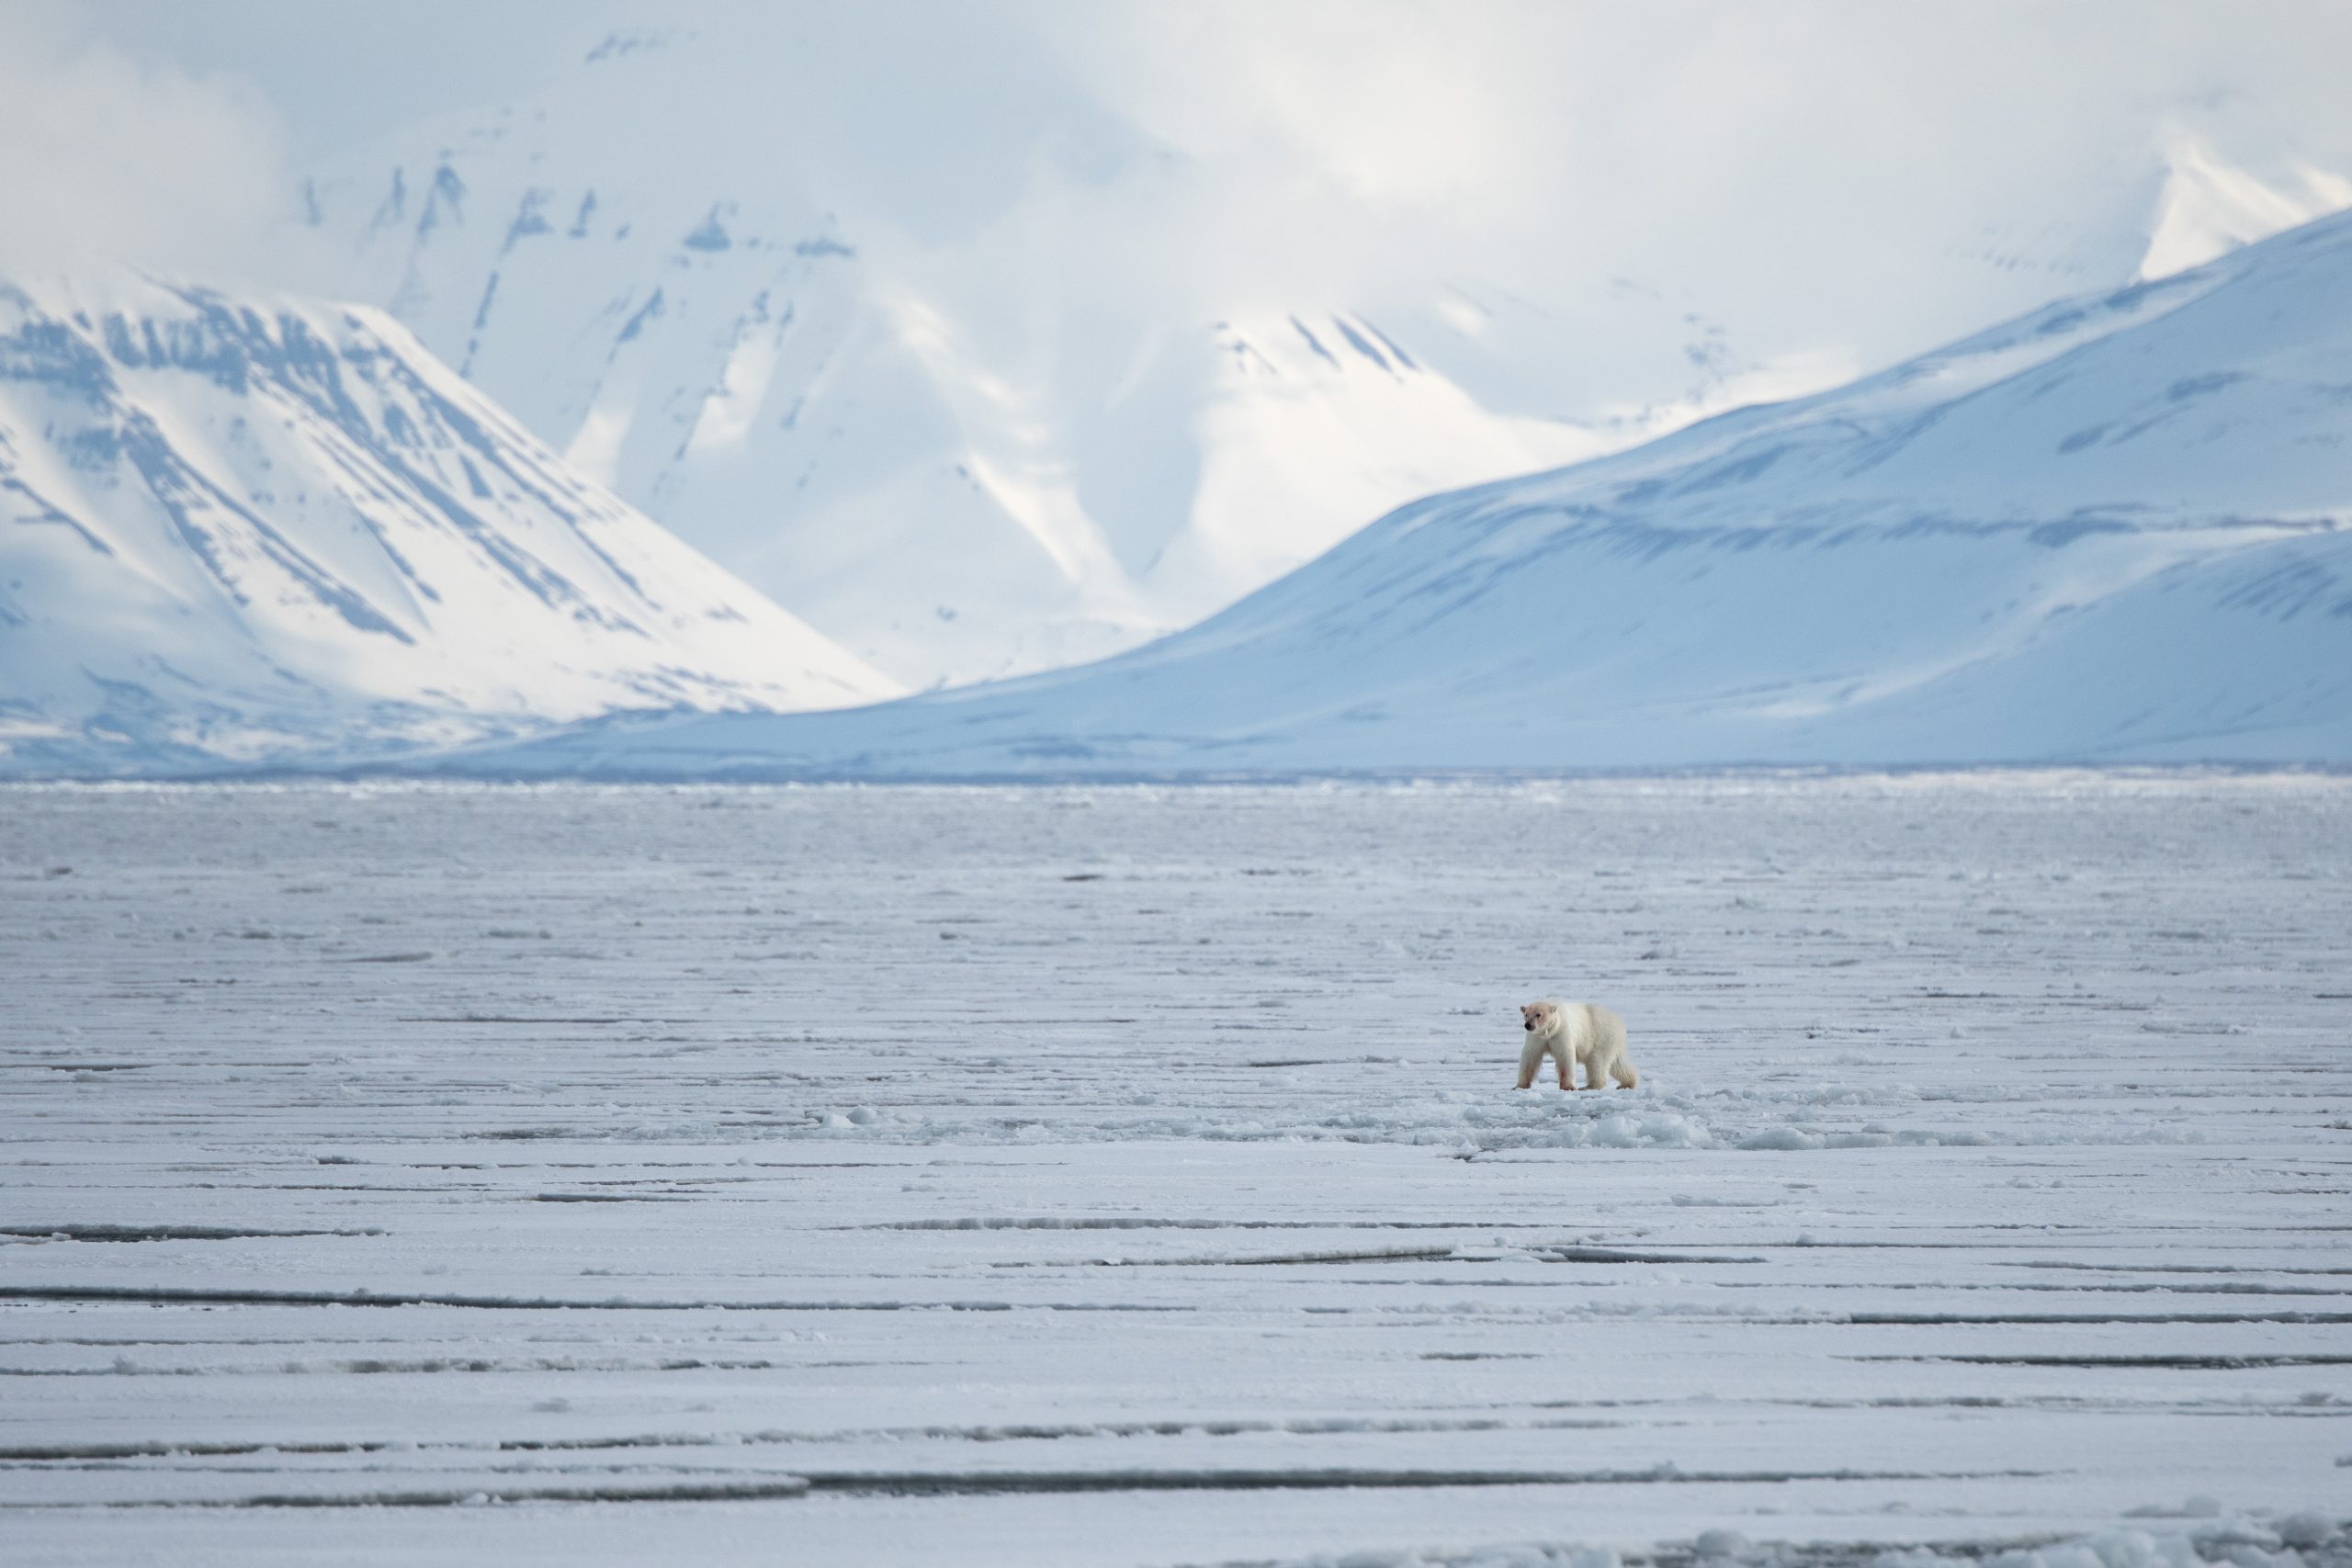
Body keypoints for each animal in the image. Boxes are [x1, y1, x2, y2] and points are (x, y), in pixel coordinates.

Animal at [1515, 998, 1639, 1091]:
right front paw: (1520, 1086)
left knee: (1597, 1062)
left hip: (1601, 1038)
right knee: (1618, 1064)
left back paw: (1589, 1086)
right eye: (1526, 1014)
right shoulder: (1536, 1038)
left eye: (1538, 1014)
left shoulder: (1562, 1032)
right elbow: (1530, 1056)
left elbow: (1565, 1056)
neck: (1550, 1032)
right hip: (1611, 1042)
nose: (1528, 1025)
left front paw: (1568, 1087)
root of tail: (1619, 1021)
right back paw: (1627, 1083)